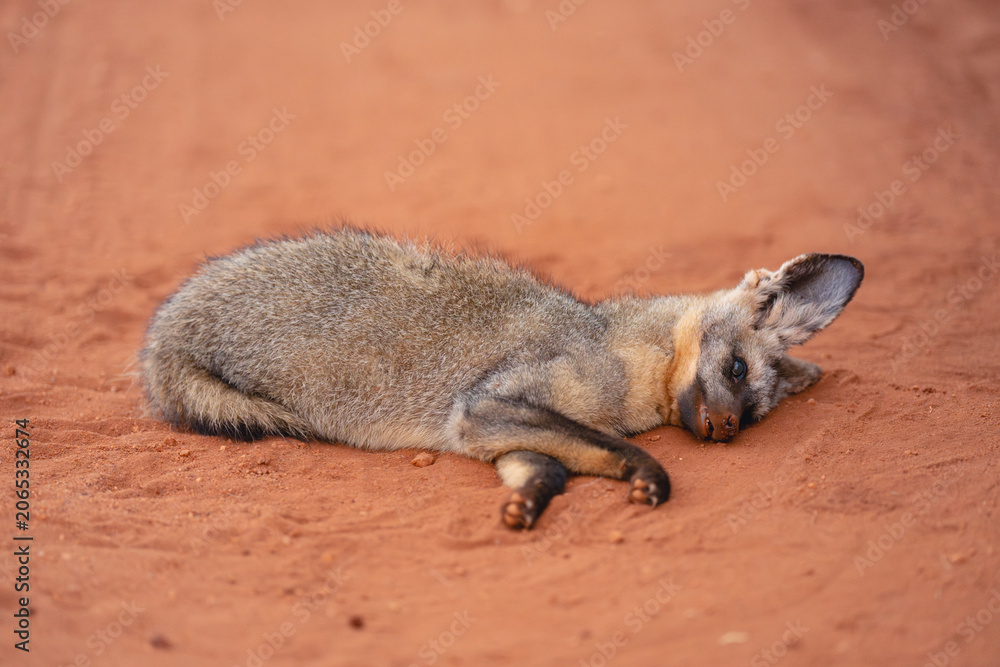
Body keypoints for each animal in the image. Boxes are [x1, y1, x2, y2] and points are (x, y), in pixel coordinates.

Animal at [140, 228, 863, 529]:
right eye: (735, 368)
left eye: (756, 411)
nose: (724, 430)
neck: (611, 349)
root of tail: (167, 326)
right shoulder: (485, 406)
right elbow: (611, 447)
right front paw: (650, 475)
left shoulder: (498, 434)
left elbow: (552, 469)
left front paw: (526, 505)